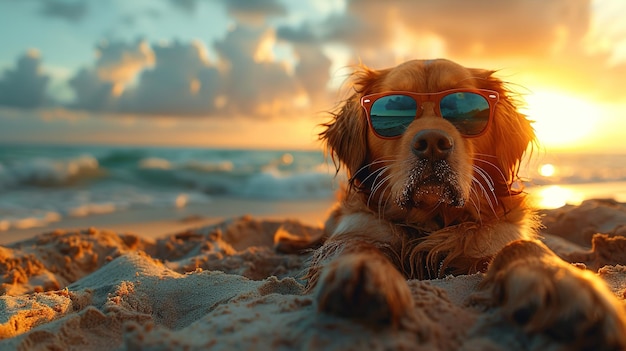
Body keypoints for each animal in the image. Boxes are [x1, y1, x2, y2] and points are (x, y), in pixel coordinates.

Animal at [294, 58, 624, 350]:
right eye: (394, 107)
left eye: (463, 108)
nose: (432, 143)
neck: (432, 220)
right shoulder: (361, 227)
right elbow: (355, 245)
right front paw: (362, 273)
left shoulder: (497, 234)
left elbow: (522, 246)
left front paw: (563, 284)